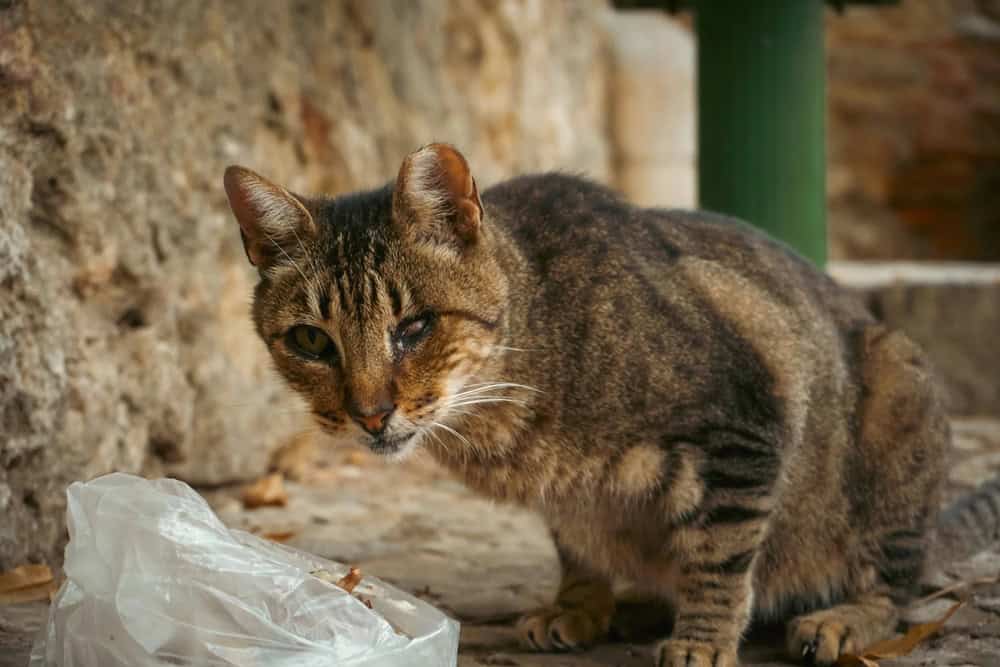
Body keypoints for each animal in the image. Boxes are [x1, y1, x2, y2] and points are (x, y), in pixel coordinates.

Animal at [227, 146, 1000, 667]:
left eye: (413, 327)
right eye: (311, 340)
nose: (370, 412)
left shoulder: (744, 419)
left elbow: (720, 558)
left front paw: (701, 639)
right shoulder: (571, 498)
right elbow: (578, 549)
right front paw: (583, 607)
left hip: (898, 397)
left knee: (899, 585)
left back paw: (837, 620)